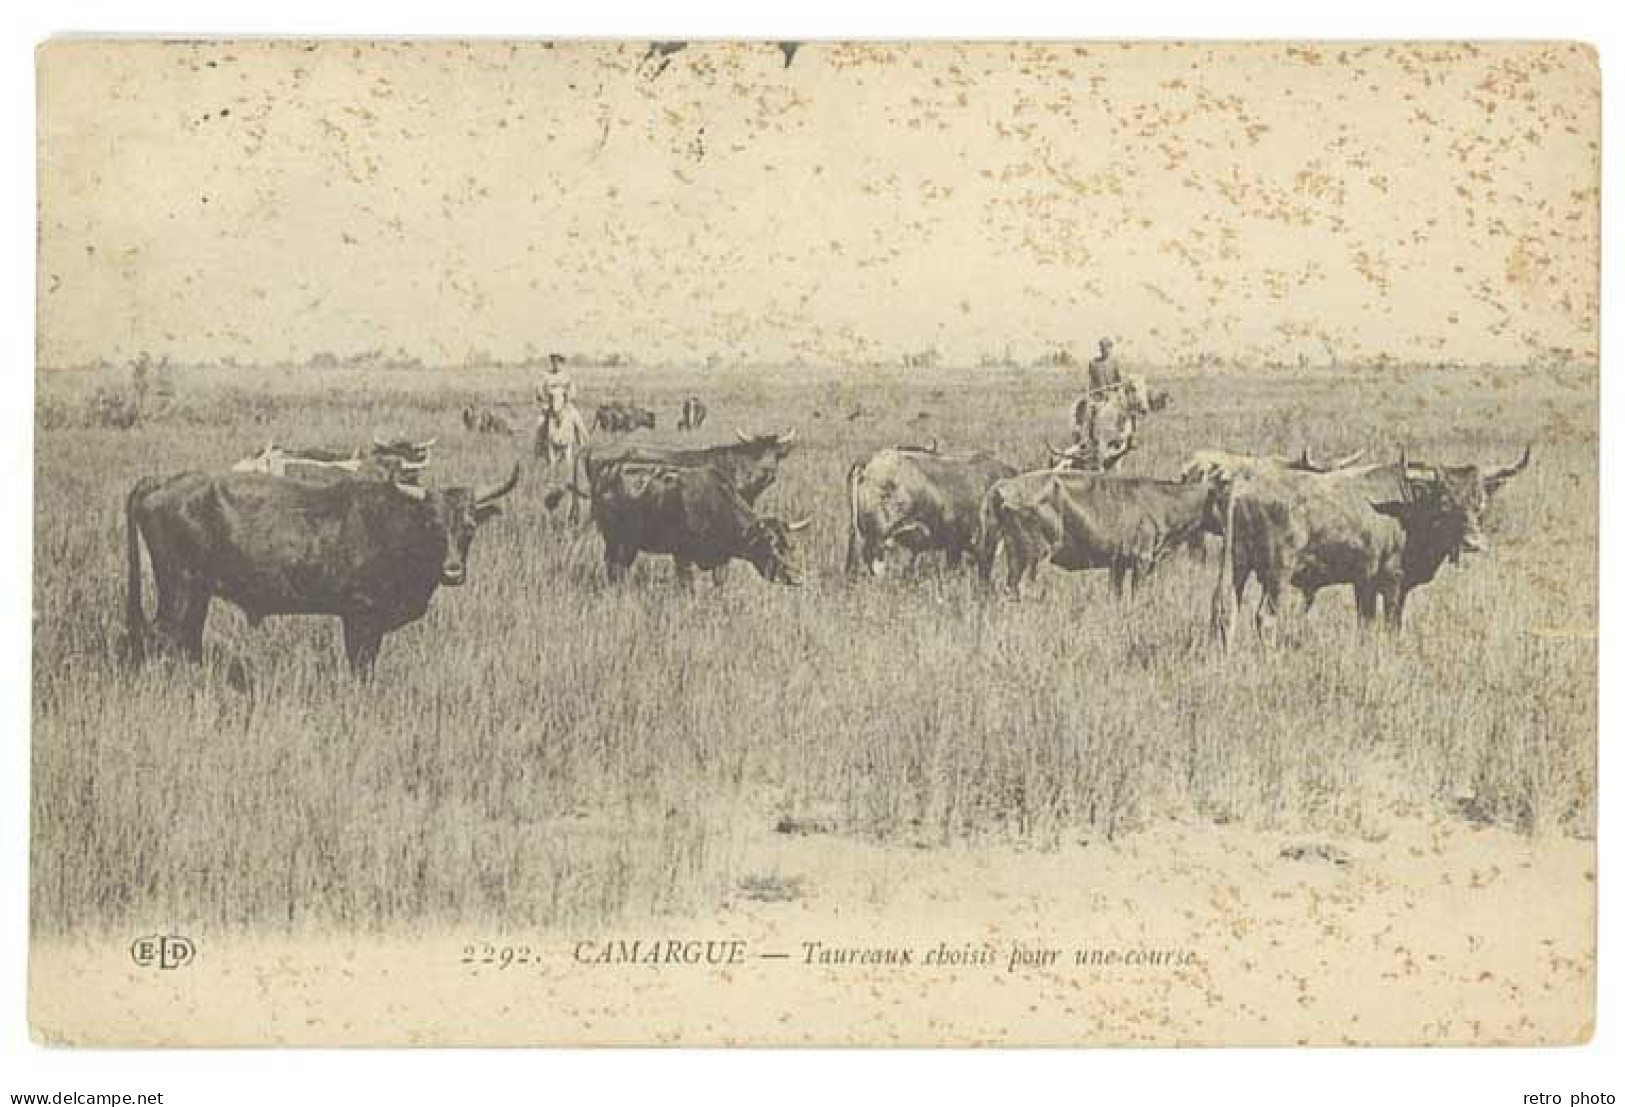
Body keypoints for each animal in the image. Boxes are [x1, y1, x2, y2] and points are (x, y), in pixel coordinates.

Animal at [126, 464, 520, 679]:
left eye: (469, 526)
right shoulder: (361, 615)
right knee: (162, 636)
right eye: (432, 524)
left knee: (188, 639)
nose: (453, 572)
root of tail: (162, 481)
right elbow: (362, 667)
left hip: (198, 592)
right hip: (179, 586)